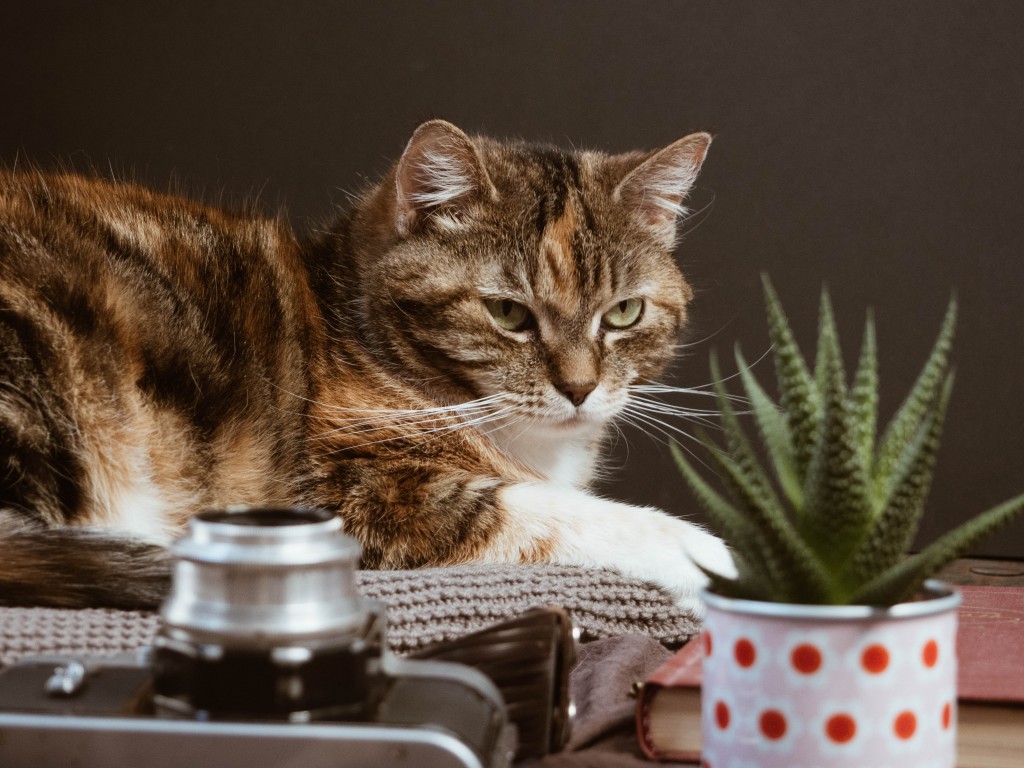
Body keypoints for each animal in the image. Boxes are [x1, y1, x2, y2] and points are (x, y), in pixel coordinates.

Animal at [2, 120, 737, 614]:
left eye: (624, 313)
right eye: (507, 312)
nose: (580, 387)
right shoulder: (330, 487)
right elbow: (521, 508)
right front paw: (703, 551)